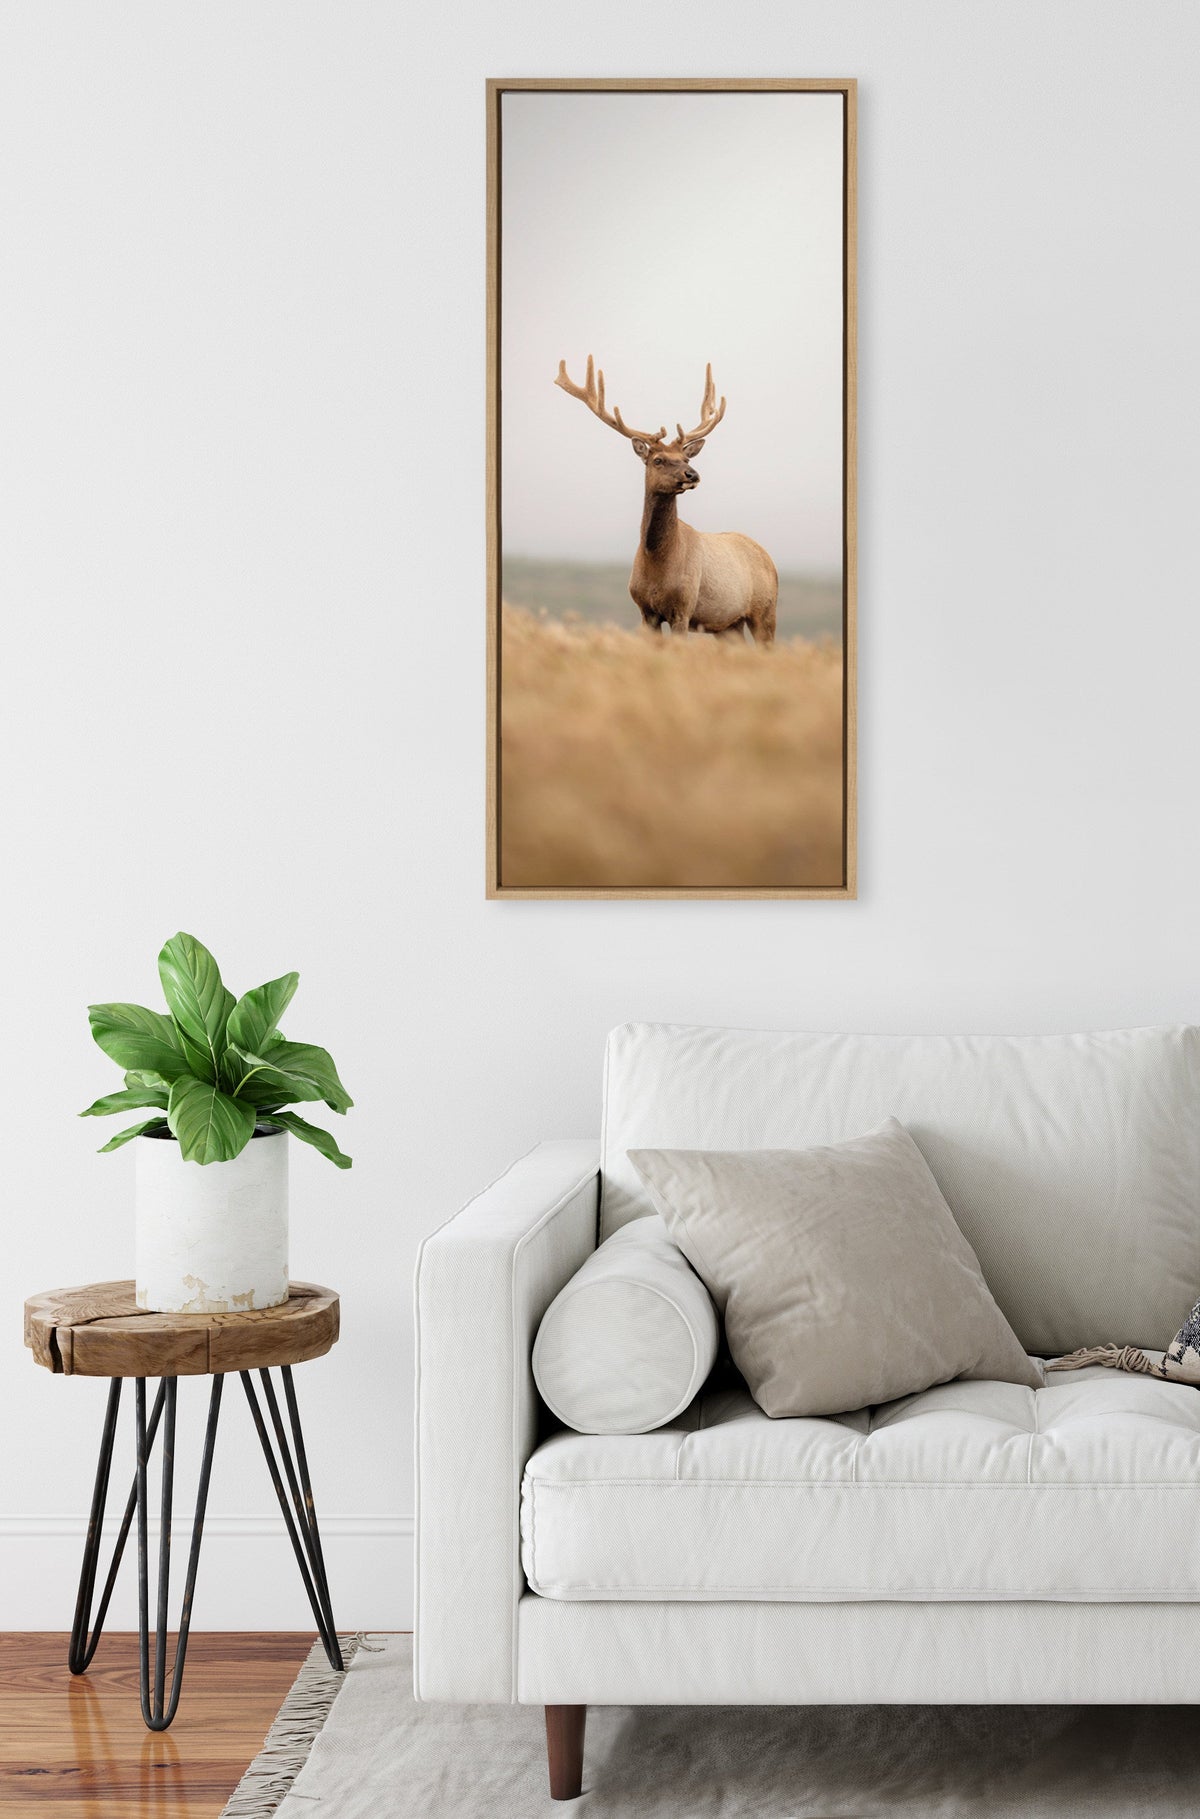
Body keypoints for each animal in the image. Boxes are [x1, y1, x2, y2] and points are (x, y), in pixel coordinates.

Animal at [555, 357, 778, 647]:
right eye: (658, 459)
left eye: (686, 458)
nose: (692, 474)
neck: (657, 564)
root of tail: (769, 558)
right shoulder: (645, 610)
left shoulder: (683, 607)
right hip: (728, 624)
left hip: (765, 610)